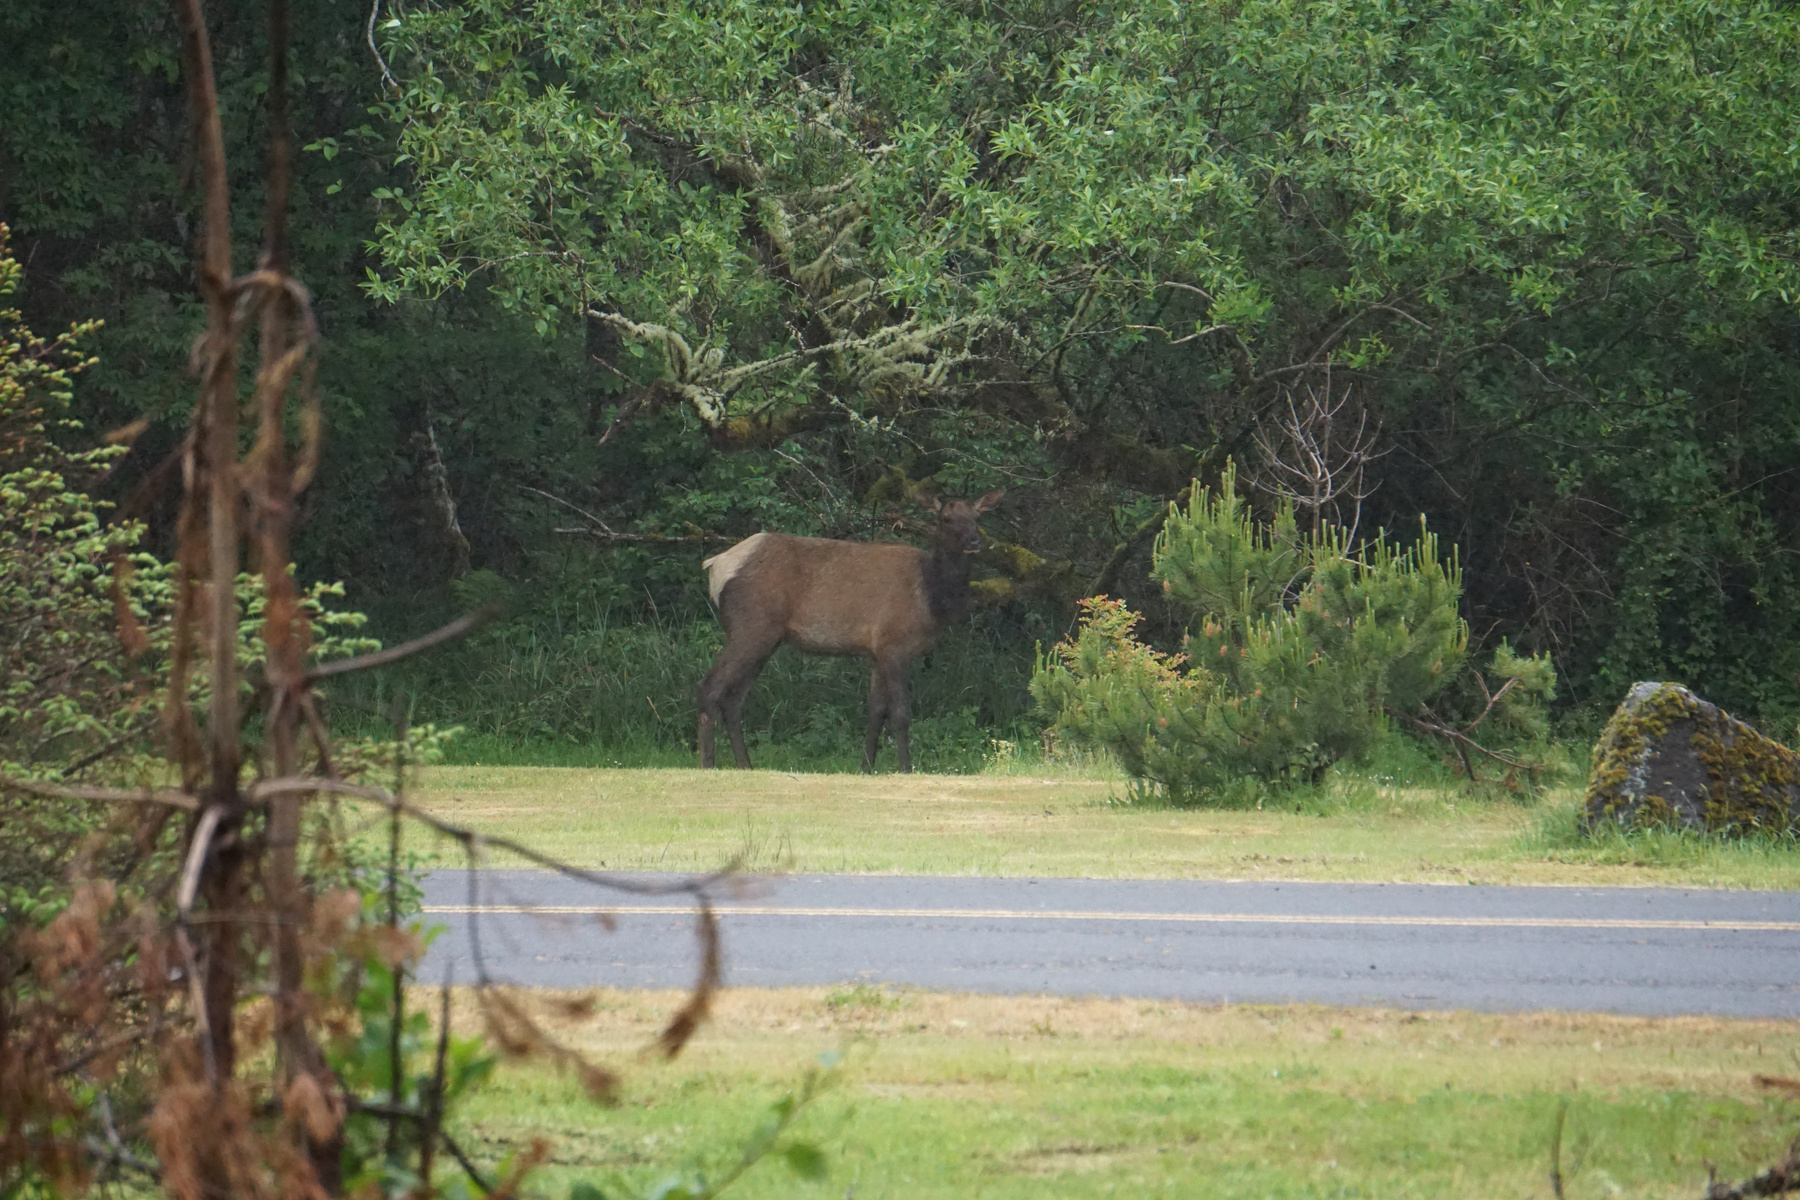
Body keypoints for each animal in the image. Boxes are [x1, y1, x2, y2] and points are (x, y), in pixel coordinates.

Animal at [698, 492, 1008, 773]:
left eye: (977, 517)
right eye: (946, 518)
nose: (975, 542)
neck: (933, 597)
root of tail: (715, 565)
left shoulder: (876, 653)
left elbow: (876, 711)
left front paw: (866, 767)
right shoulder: (894, 644)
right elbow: (900, 713)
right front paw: (905, 768)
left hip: (765, 638)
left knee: (734, 699)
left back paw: (745, 765)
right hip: (751, 627)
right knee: (709, 686)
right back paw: (708, 764)